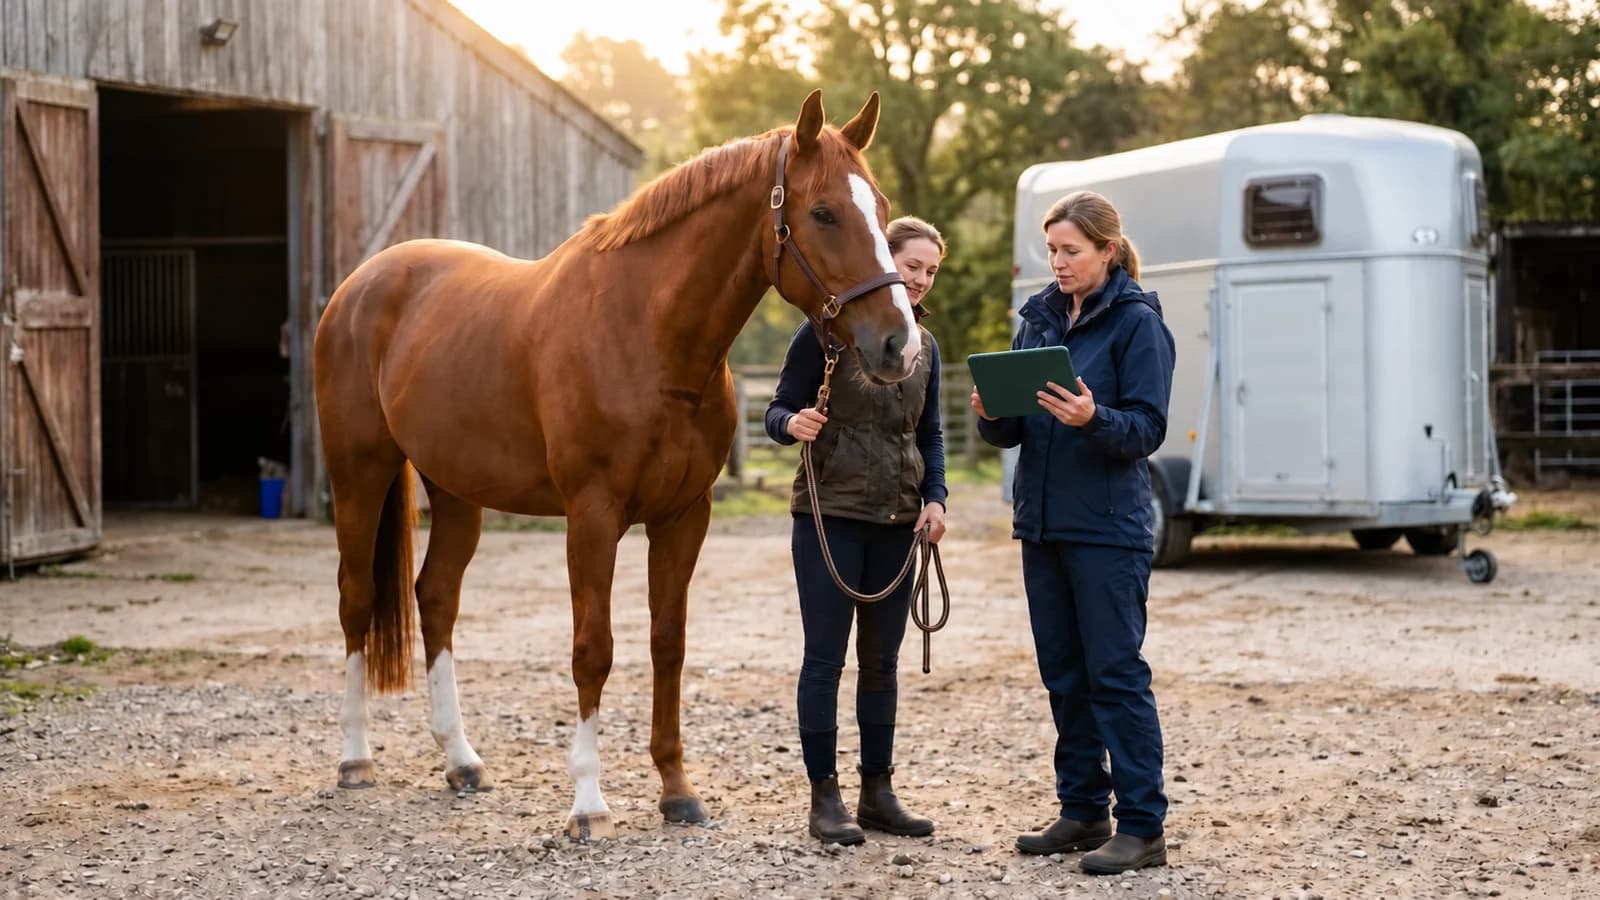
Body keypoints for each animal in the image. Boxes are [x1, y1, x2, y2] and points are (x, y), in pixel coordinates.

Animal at [311, 90, 918, 840]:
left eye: (882, 209)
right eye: (825, 212)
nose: (899, 345)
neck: (649, 337)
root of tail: (360, 285)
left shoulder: (684, 517)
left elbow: (667, 643)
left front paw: (678, 792)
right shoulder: (593, 515)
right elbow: (592, 648)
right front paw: (588, 802)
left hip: (455, 491)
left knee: (437, 597)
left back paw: (461, 761)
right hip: (358, 473)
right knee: (357, 601)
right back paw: (355, 758)